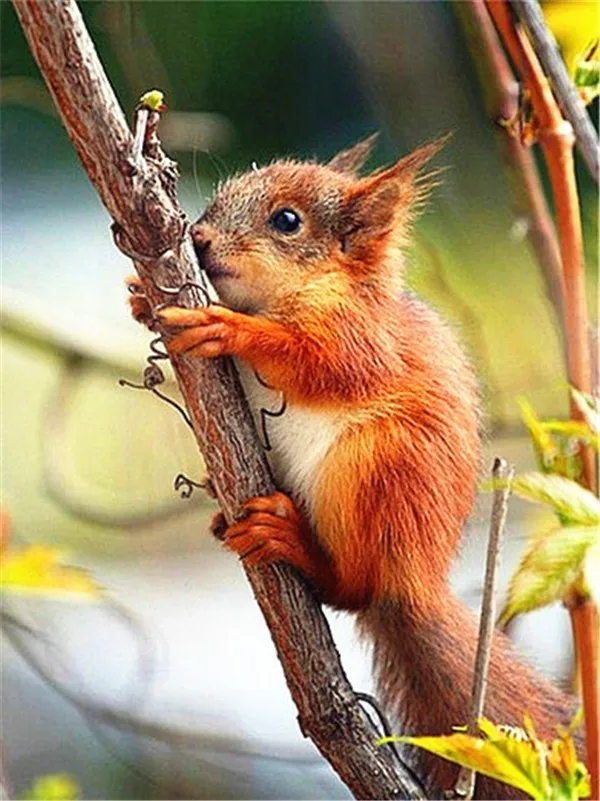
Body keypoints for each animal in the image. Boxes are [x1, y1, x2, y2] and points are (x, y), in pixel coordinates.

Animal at [130, 135, 579, 799]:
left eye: (287, 221)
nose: (200, 239)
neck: (289, 293)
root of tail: (412, 581)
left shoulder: (361, 338)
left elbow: (316, 358)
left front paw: (226, 326)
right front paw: (139, 295)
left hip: (377, 468)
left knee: (351, 588)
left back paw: (290, 540)